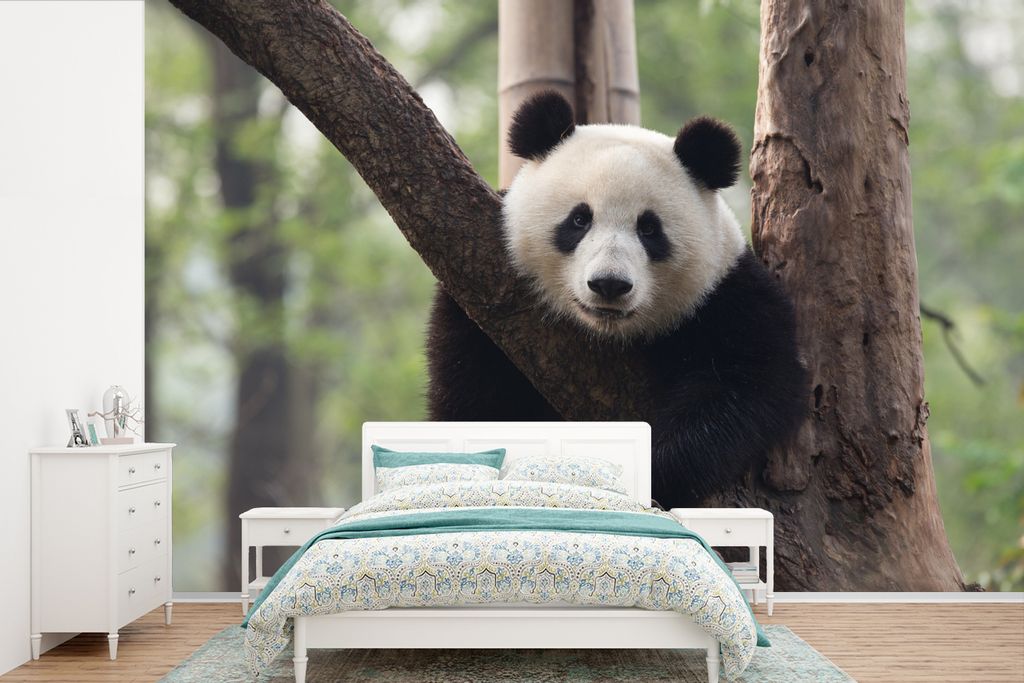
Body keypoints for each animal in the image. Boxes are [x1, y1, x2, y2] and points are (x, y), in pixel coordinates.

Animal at [426, 91, 807, 508]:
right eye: (579, 219)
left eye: (649, 229)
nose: (609, 284)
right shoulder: (475, 308)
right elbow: (477, 399)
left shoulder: (727, 298)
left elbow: (746, 383)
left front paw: (655, 469)